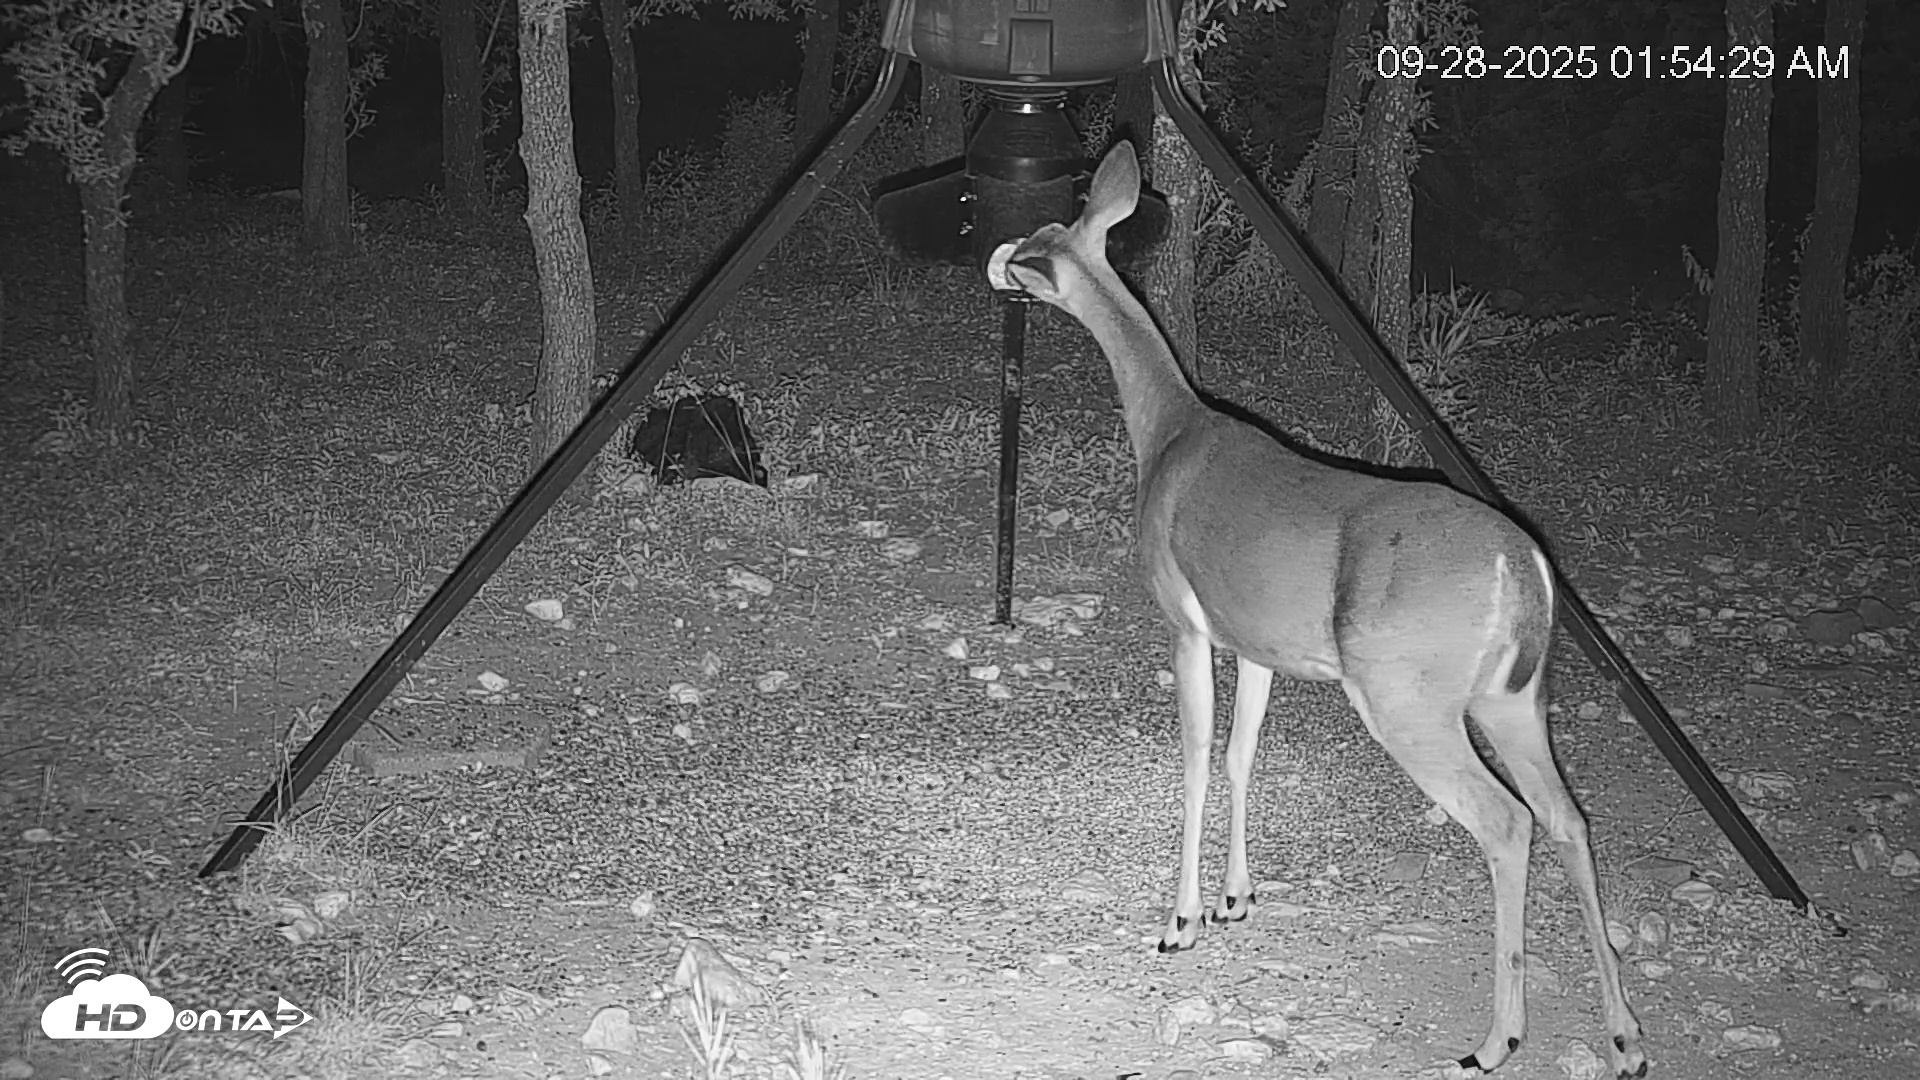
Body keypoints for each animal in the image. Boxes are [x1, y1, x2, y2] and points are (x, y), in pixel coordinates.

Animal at [987, 142, 1647, 1079]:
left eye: (1034, 251)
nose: (999, 262)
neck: (1168, 431)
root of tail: (1523, 568)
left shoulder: (1185, 619)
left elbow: (1195, 759)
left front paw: (1181, 922)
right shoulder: (1259, 643)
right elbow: (1240, 756)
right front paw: (1236, 900)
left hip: (1408, 698)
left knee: (1507, 823)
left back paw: (1497, 1038)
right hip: (1514, 697)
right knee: (1569, 818)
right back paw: (1624, 1035)